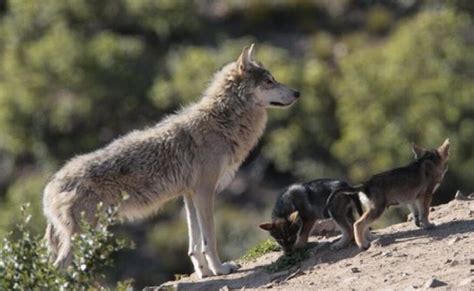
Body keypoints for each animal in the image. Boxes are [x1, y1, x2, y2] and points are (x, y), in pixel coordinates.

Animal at [41, 43, 300, 278]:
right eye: (269, 81)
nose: (298, 93)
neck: (222, 123)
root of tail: (49, 187)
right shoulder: (205, 191)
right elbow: (210, 239)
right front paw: (219, 269)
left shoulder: (189, 194)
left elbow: (194, 244)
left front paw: (204, 273)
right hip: (83, 235)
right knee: (56, 268)